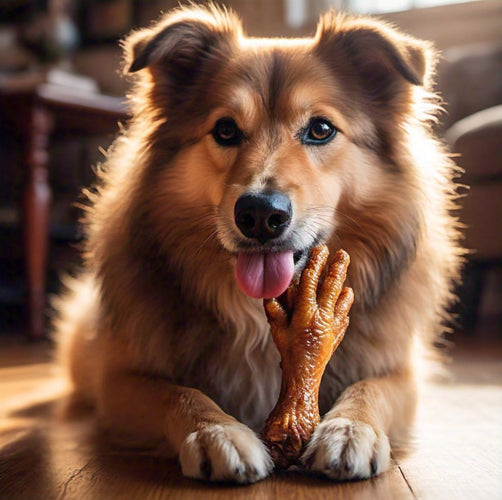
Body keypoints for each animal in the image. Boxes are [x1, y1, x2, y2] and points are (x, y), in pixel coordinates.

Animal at [55, 4, 462, 484]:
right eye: (225, 130)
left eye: (320, 129)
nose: (260, 215)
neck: (260, 319)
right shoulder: (119, 380)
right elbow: (179, 393)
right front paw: (217, 434)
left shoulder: (401, 373)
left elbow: (369, 388)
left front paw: (348, 430)